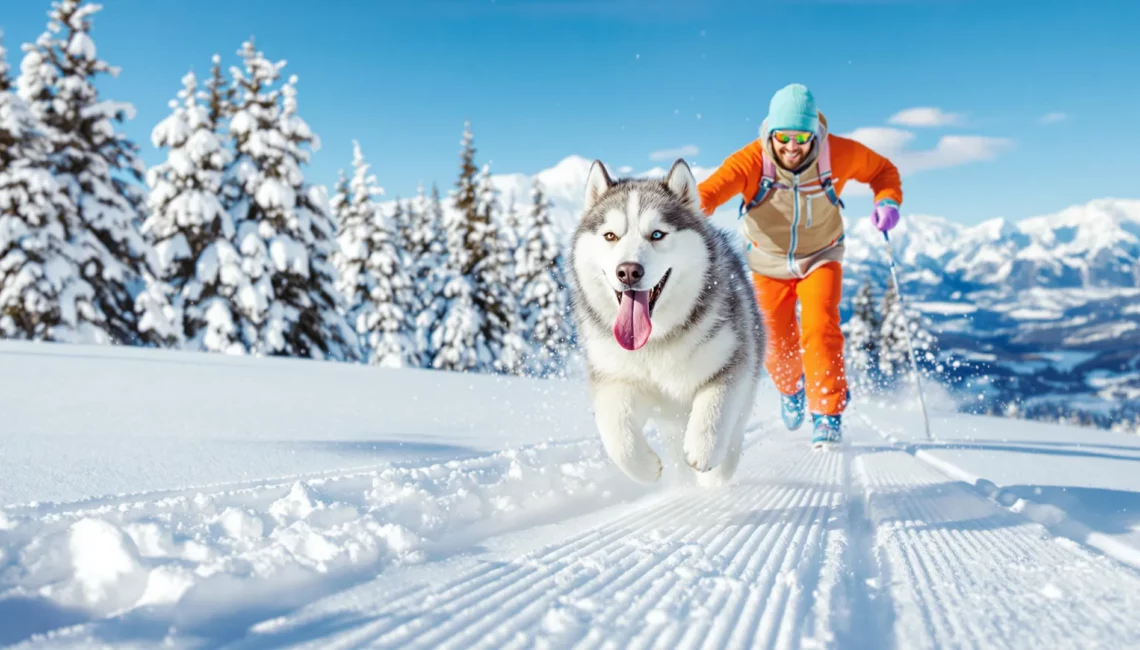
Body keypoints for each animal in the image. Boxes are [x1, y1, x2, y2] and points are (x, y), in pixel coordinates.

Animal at [567, 158, 766, 485]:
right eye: (610, 236)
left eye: (657, 234)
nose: (628, 271)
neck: (657, 341)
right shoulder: (615, 377)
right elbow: (615, 431)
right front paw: (644, 467)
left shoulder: (733, 359)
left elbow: (716, 407)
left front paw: (704, 452)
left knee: (734, 431)